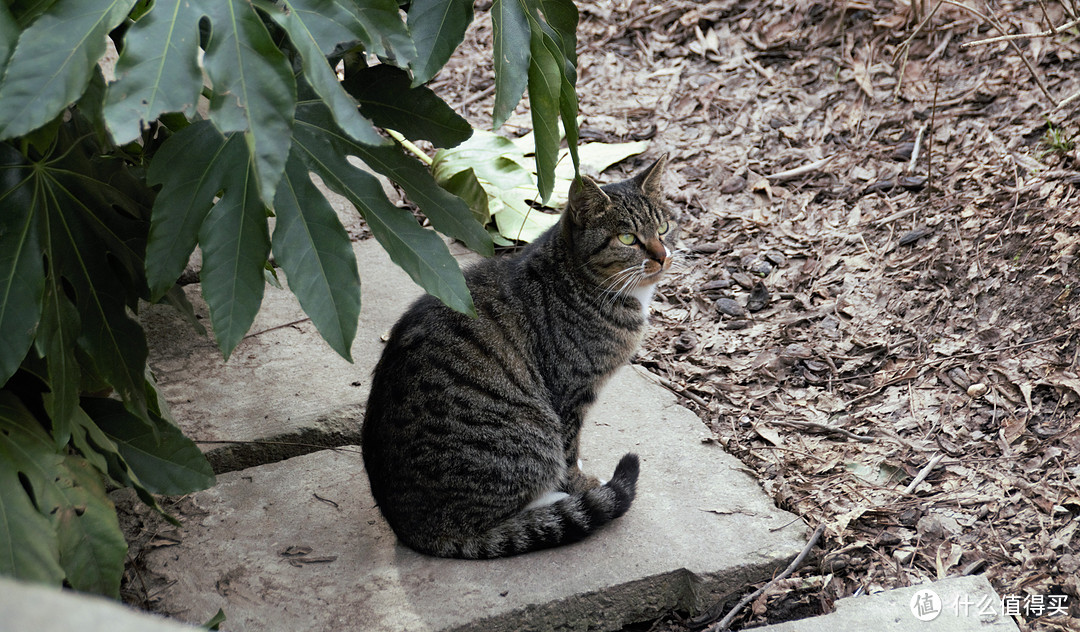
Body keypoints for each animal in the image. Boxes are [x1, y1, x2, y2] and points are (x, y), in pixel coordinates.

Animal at [367, 156, 678, 557]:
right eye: (628, 238)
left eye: (664, 227)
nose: (663, 256)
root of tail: (413, 529)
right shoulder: (570, 395)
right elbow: (569, 451)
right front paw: (581, 484)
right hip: (531, 432)